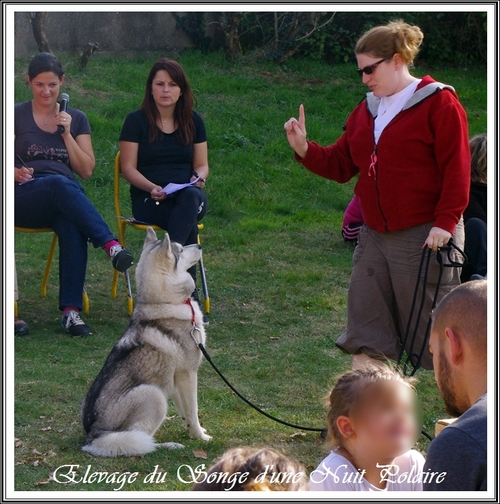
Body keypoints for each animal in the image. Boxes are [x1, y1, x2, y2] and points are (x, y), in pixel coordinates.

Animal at [81, 228, 210, 456]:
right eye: (180, 250)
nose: (199, 245)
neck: (164, 301)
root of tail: (93, 437)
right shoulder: (188, 374)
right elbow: (193, 410)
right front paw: (201, 437)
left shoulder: (174, 379)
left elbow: (185, 411)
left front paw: (194, 431)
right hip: (153, 395)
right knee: (142, 441)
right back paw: (168, 446)